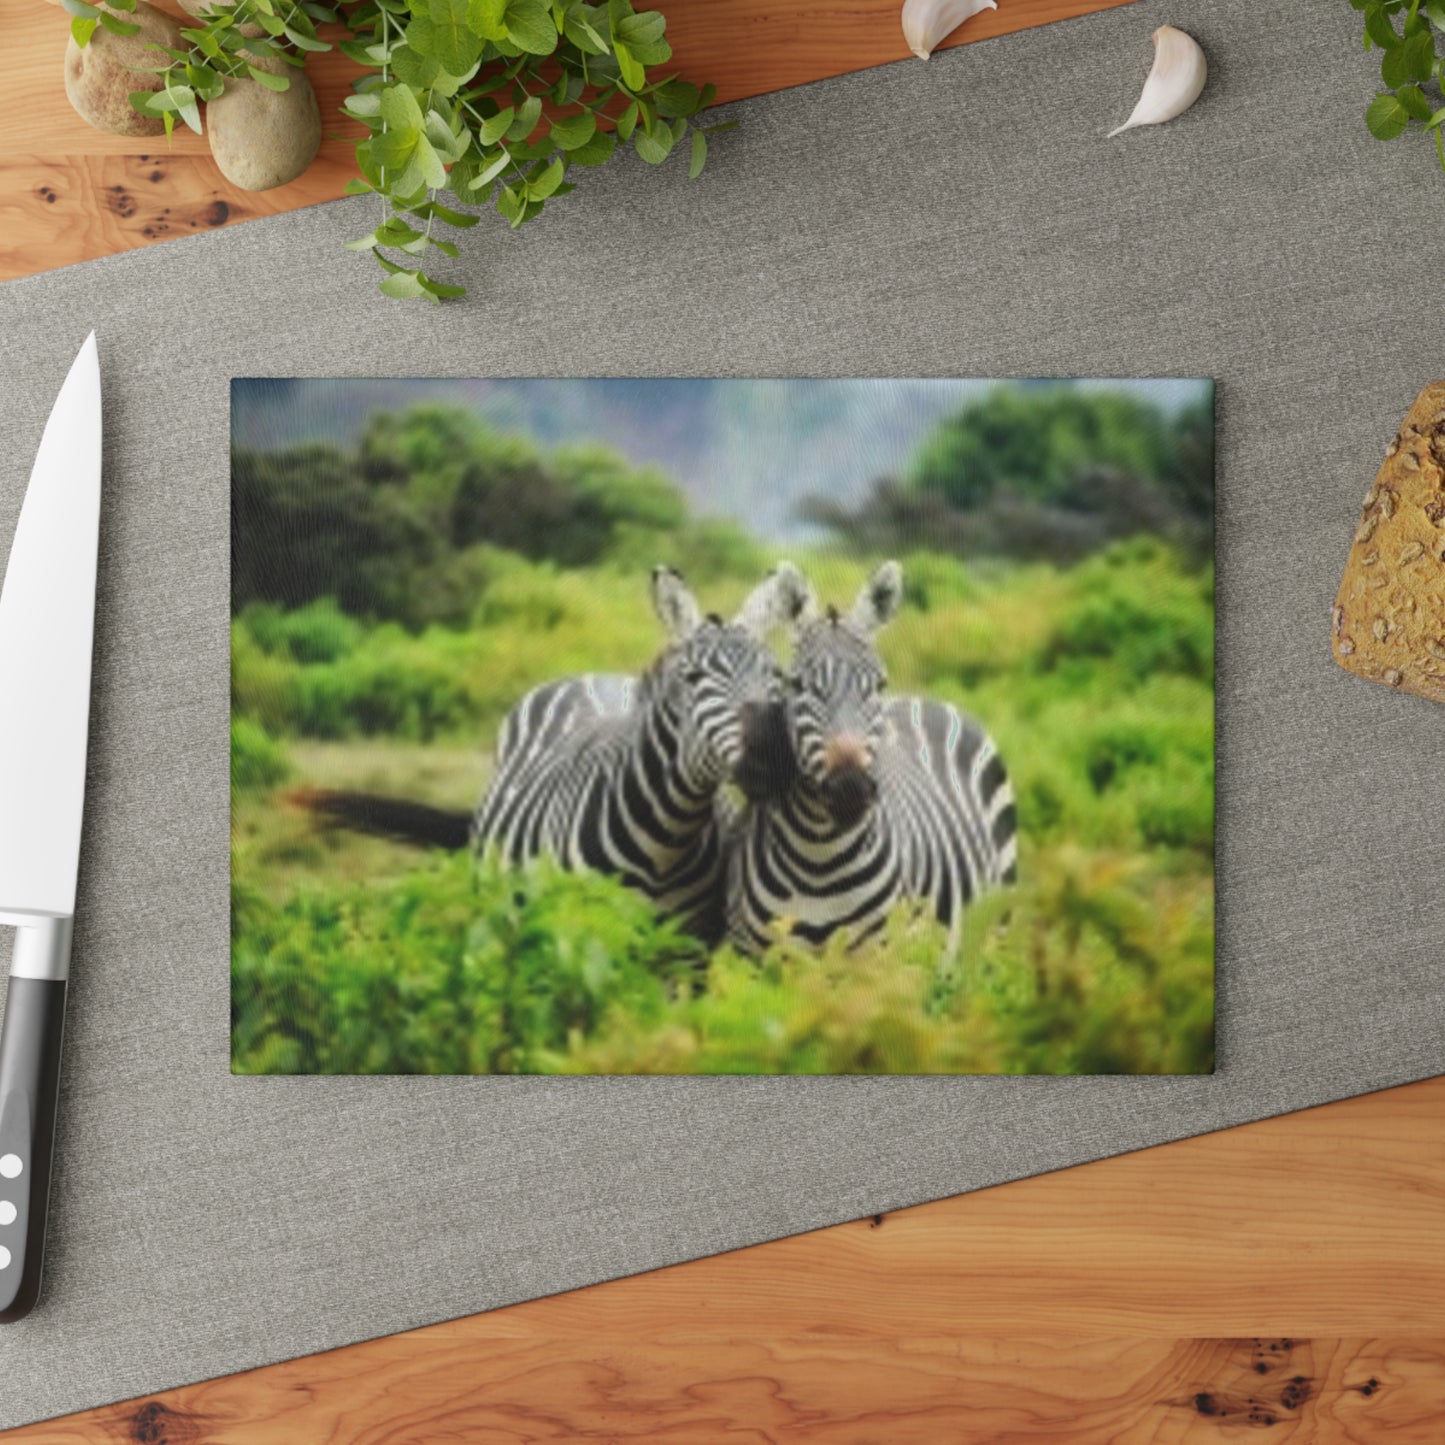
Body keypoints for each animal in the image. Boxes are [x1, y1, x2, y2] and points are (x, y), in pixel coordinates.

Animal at [473, 563, 805, 942]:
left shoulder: (690, 942)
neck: (663, 844)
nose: (771, 757)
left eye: (777, 676)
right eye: (693, 677)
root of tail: (595, 674)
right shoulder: (579, 931)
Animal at [727, 561, 1018, 958]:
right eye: (797, 685)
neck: (819, 859)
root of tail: (924, 699)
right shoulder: (755, 957)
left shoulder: (876, 955)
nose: (850, 787)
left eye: (879, 685)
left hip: (994, 930)